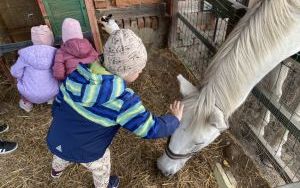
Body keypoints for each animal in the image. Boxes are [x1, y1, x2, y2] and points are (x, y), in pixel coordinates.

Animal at [157, 0, 300, 176]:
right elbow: (274, 92)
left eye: (199, 142)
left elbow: (292, 115)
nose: (163, 168)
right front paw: (260, 128)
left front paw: (276, 147)